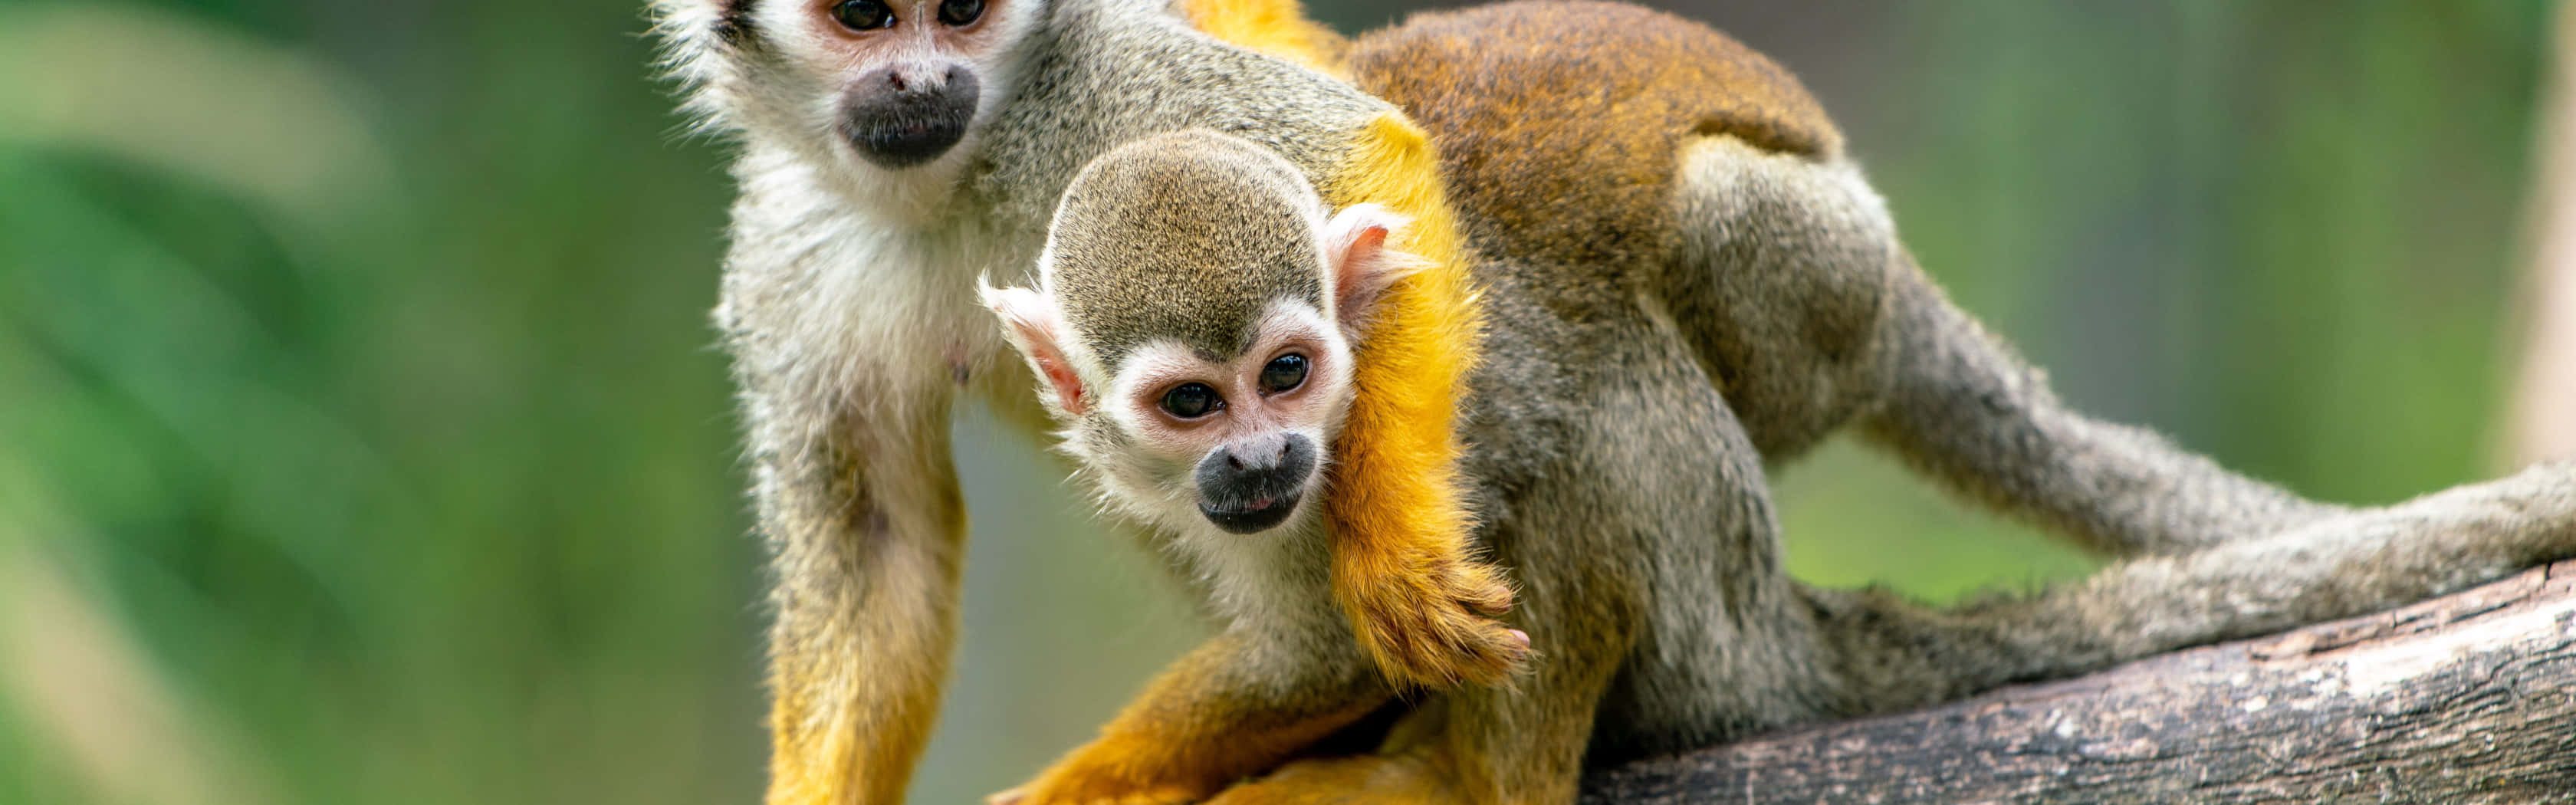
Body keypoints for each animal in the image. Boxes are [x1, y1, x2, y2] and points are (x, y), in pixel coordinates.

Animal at [649, 2, 2576, 805]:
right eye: (1197, 401)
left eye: (1288, 376)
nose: (1265, 455)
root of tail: (1795, 628)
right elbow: (874, 537)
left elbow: (1362, 593)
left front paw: (1074, 794)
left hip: (1732, 539)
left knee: (1609, 425)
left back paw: (1457, 782)